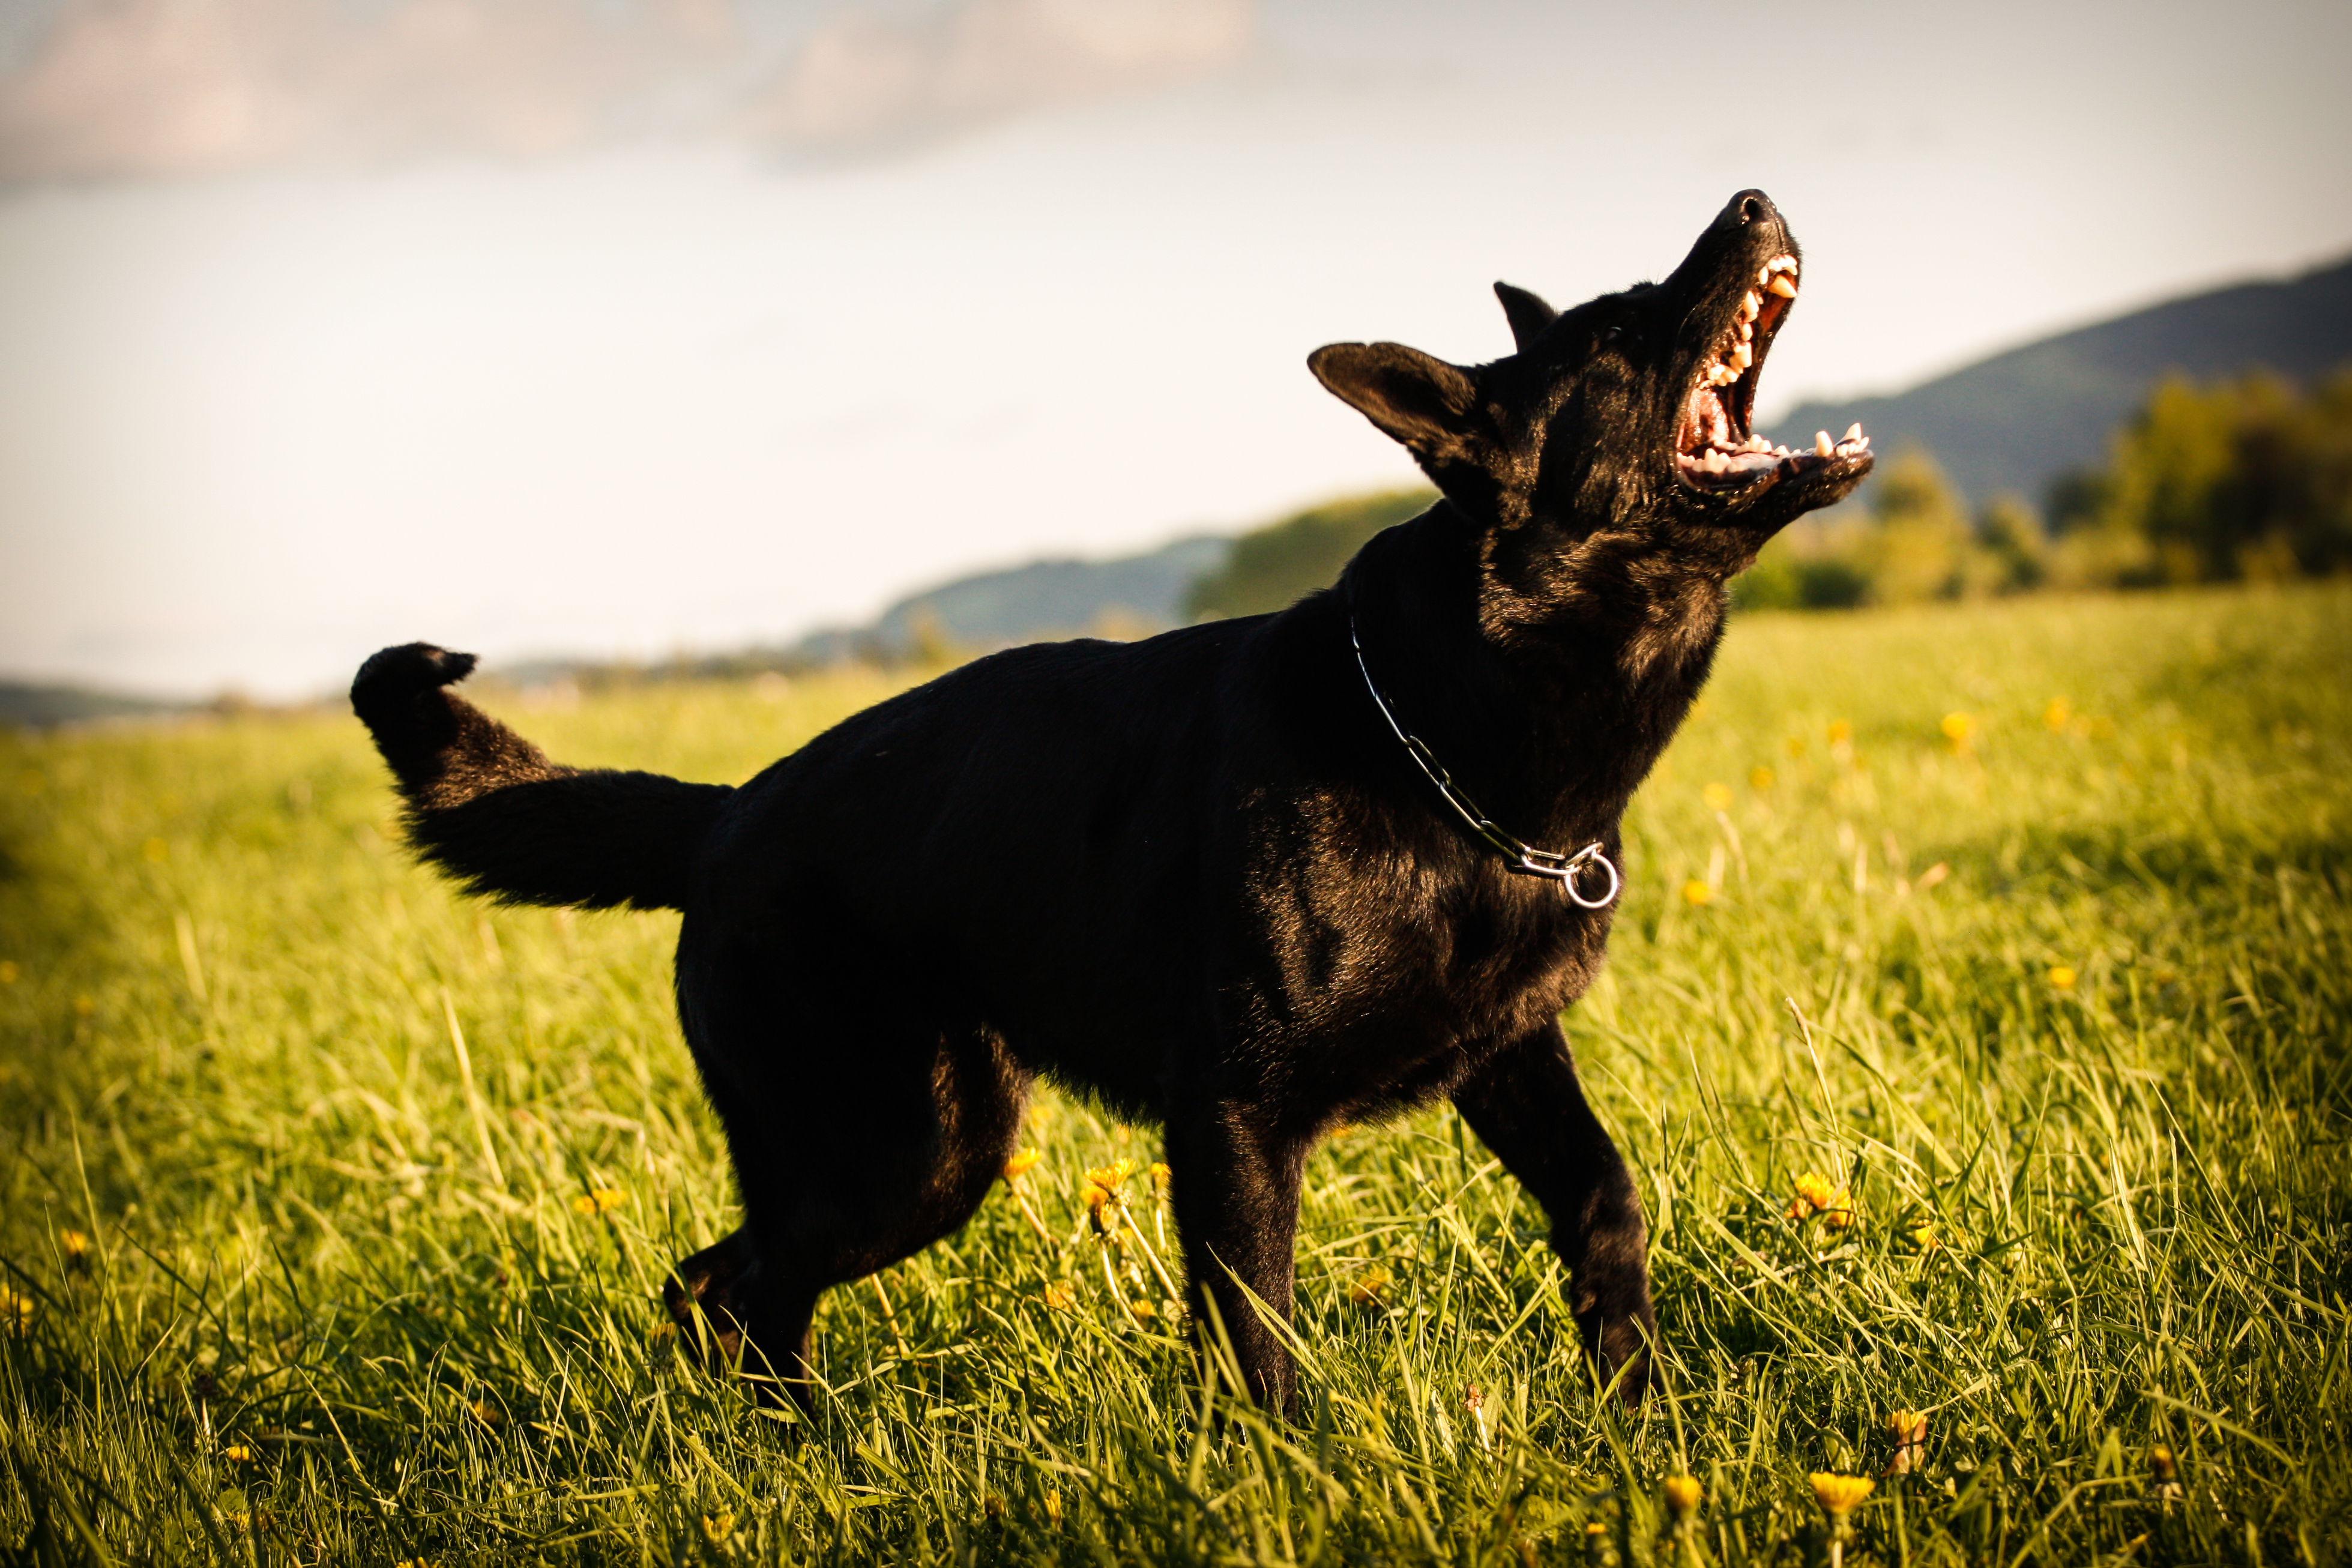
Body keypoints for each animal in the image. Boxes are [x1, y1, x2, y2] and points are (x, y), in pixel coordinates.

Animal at [352, 190, 1872, 1420]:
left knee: (722, 1283)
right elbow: (1260, 1344)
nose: (1752, 199)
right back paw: (806, 1453)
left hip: (907, 1151)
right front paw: (1294, 1487)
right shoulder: (1234, 1126)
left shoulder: (1505, 1057)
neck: (1446, 735)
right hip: (917, 1150)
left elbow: (1606, 1200)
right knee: (739, 1286)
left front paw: (1637, 1415)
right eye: (1623, 331)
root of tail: (725, 817)